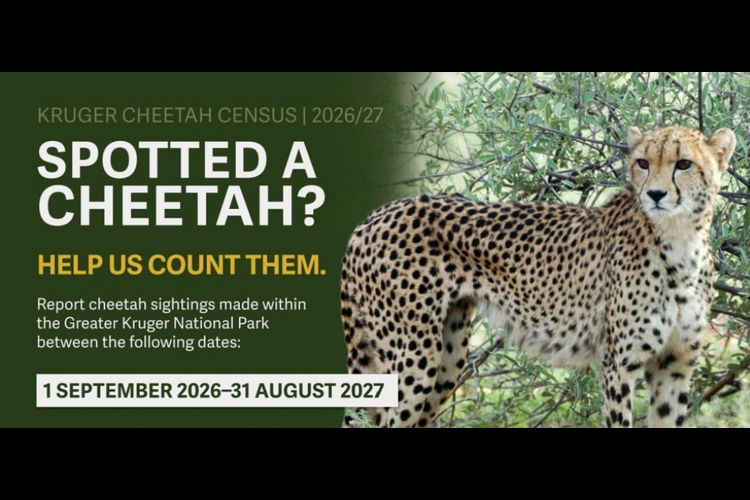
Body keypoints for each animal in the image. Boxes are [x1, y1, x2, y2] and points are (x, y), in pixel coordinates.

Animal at [340, 126, 736, 428]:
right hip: (413, 356)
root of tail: (371, 217)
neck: (680, 239)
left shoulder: (675, 364)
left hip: (446, 357)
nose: (654, 194)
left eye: (683, 164)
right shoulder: (620, 365)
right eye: (643, 163)